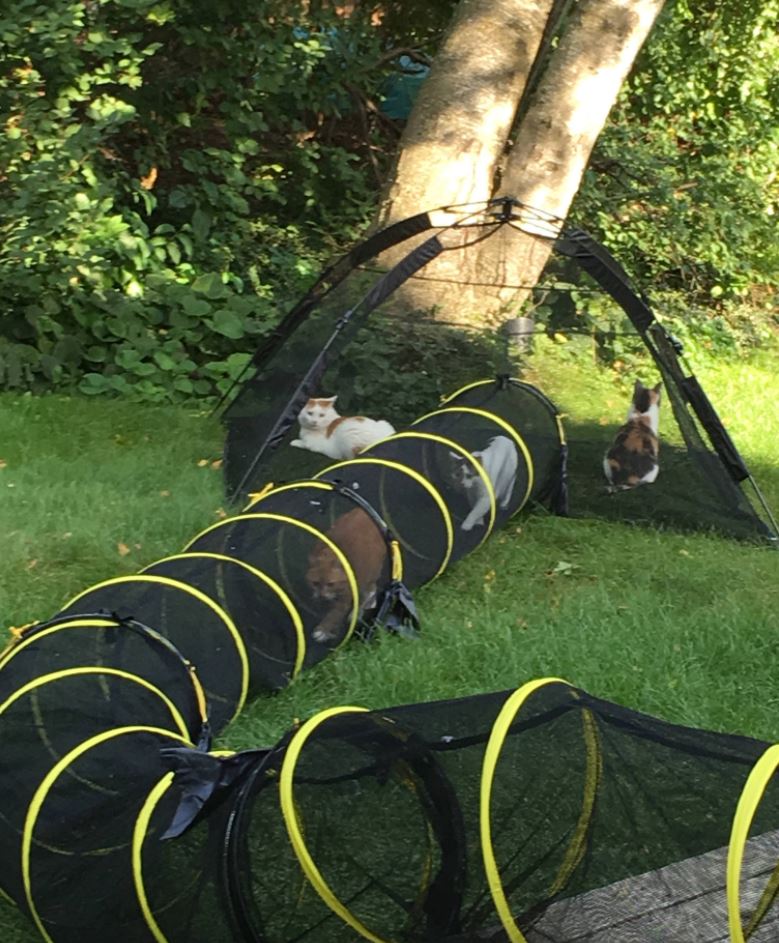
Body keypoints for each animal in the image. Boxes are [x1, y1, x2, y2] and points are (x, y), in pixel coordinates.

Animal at [306, 506, 388, 644]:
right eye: (315, 583)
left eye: (331, 584)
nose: (321, 596)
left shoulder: (346, 597)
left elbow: (334, 614)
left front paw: (323, 630)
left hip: (371, 572)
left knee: (371, 590)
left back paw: (358, 611)